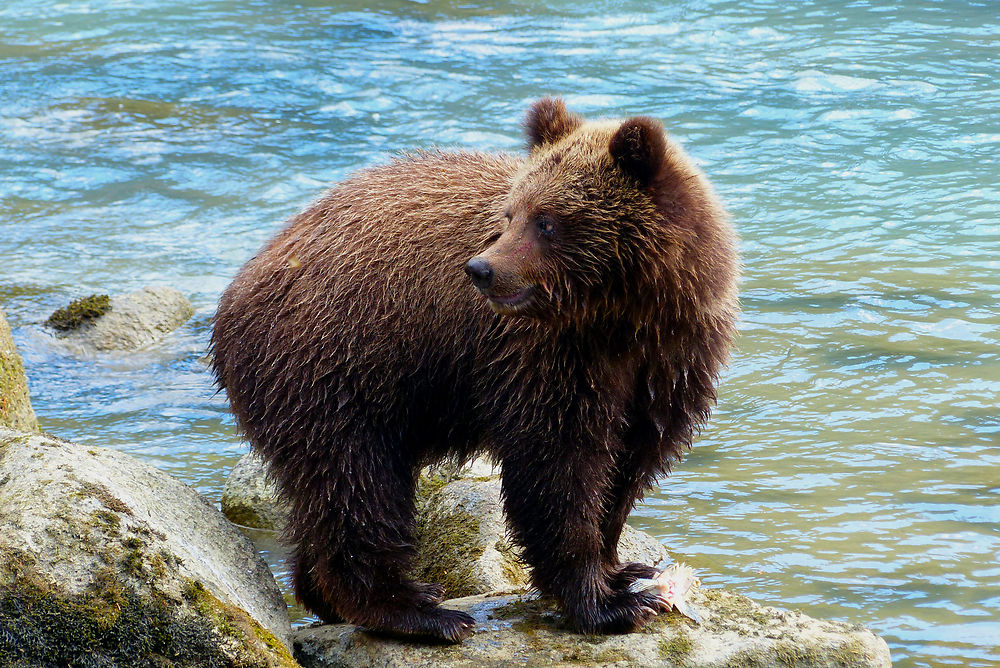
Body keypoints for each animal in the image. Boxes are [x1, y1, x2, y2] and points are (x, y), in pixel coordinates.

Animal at [211, 98, 740, 640]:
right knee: (357, 484)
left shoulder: (671, 361)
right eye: (511, 213)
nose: (481, 269)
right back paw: (418, 610)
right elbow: (556, 464)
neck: (621, 317)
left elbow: (629, 464)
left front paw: (623, 571)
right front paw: (609, 603)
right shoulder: (541, 357)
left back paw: (323, 594)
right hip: (334, 368)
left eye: (546, 221)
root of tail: (236, 293)